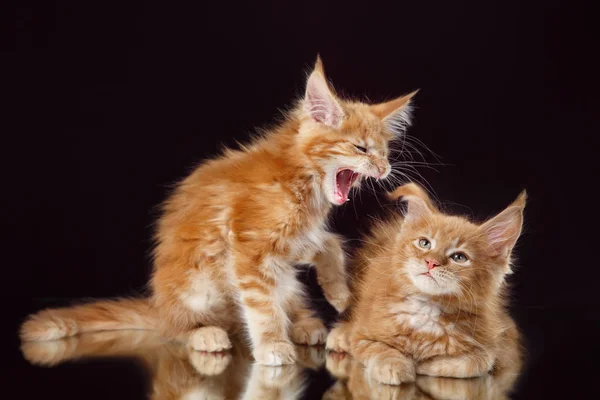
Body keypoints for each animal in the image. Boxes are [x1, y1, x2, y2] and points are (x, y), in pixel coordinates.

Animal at [19, 56, 418, 366]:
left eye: (384, 151)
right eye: (361, 148)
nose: (385, 168)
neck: (301, 182)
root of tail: (160, 305)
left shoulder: (290, 242)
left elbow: (329, 242)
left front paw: (338, 291)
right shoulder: (250, 247)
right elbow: (261, 306)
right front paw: (273, 345)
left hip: (279, 280)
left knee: (284, 299)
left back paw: (305, 324)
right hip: (195, 286)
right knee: (177, 328)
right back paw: (204, 335)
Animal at [328, 184, 524, 384]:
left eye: (459, 257)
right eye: (424, 243)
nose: (431, 262)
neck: (427, 309)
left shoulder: (498, 345)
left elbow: (476, 362)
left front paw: (427, 364)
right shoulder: (362, 334)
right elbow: (378, 348)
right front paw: (394, 365)